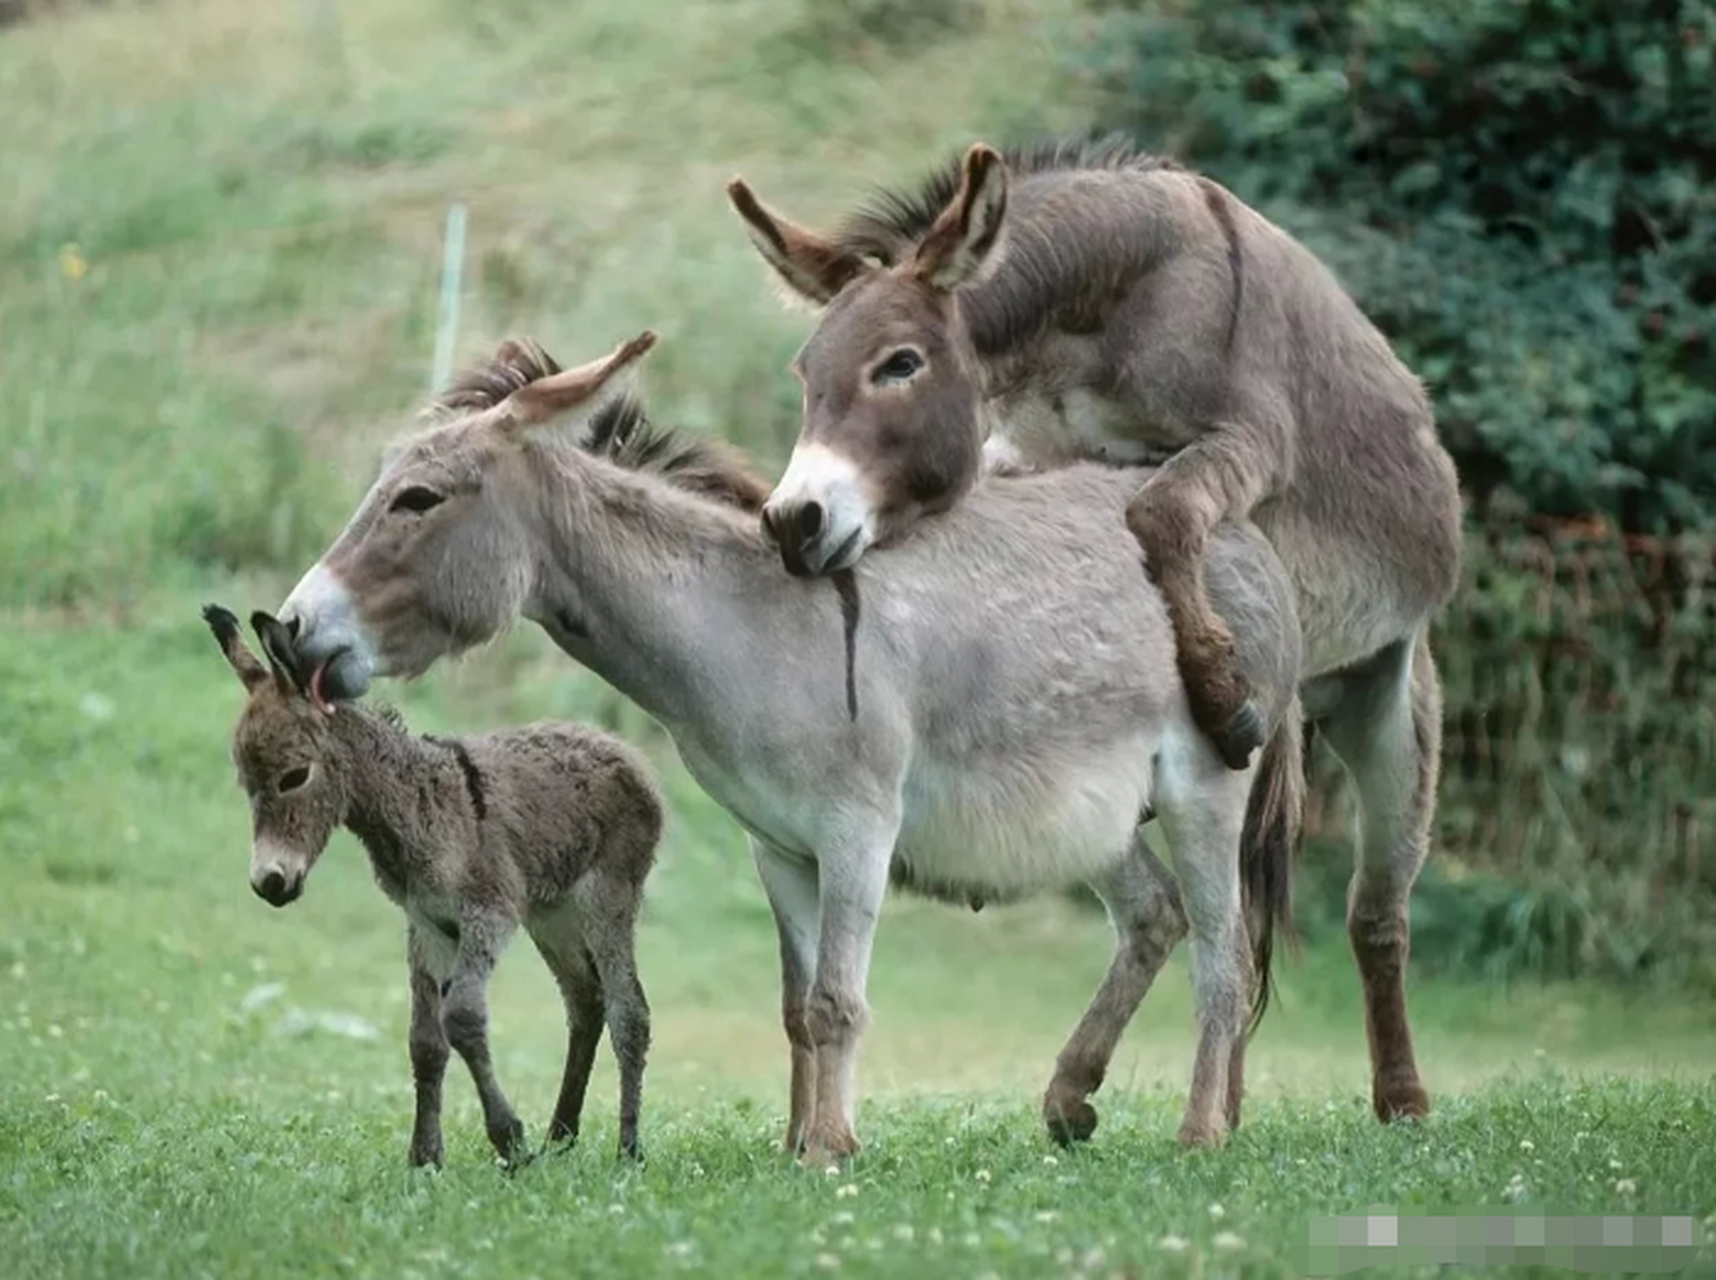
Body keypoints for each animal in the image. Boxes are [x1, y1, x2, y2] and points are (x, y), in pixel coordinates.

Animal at [199, 603, 655, 1159]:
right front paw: (425, 1157)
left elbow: (460, 1018)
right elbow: (424, 1041)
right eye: (246, 783)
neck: (413, 806)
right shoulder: (427, 925)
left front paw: (509, 1141)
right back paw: (561, 1137)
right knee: (586, 1002)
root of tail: (618, 748)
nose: (269, 882)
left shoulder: (487, 914)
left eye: (294, 777)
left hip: (606, 898)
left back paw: (628, 1150)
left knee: (629, 1012)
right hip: (552, 915)